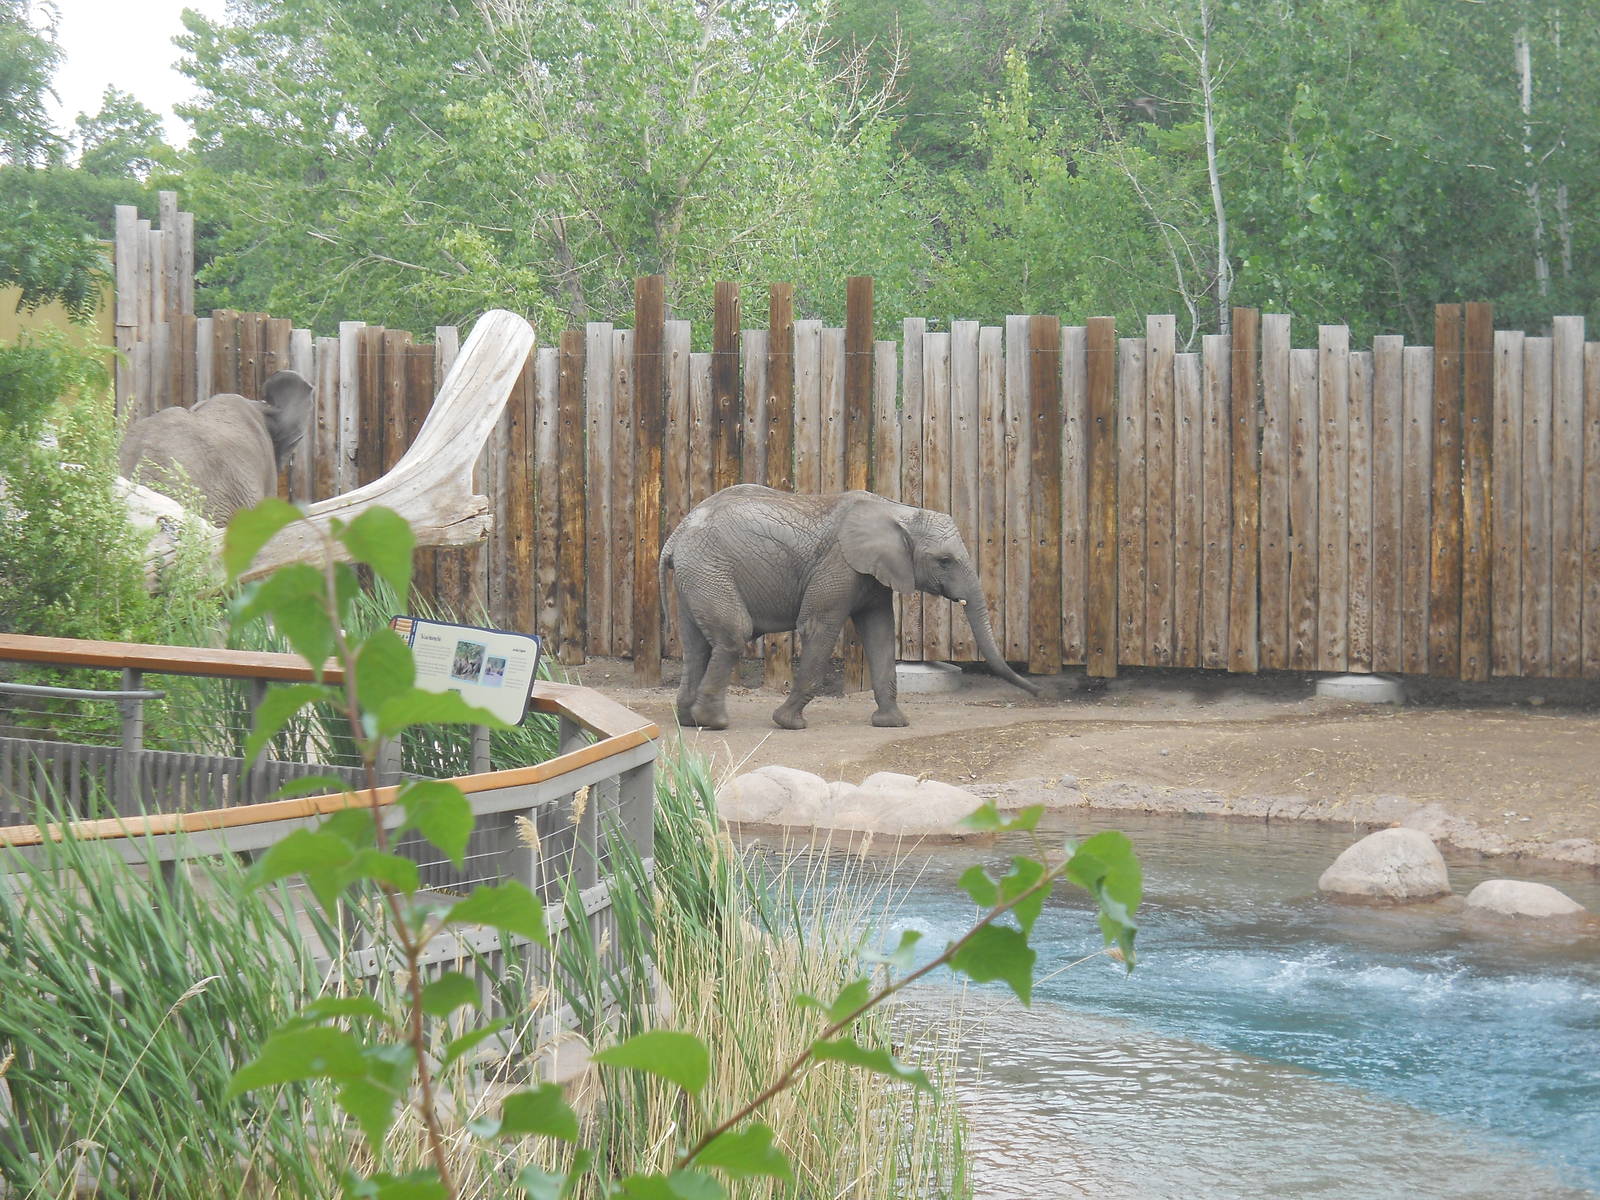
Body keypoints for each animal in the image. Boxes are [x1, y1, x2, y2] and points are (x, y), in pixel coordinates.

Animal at [658, 484, 1042, 730]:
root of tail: (674, 538)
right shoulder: (839, 565)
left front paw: (893, 724)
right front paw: (789, 723)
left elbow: (880, 633)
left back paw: (687, 720)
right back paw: (713, 723)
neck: (897, 510)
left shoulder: (875, 576)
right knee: (733, 636)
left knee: (697, 646)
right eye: (944, 561)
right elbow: (818, 628)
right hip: (709, 567)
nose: (1039, 692)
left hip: (697, 574)